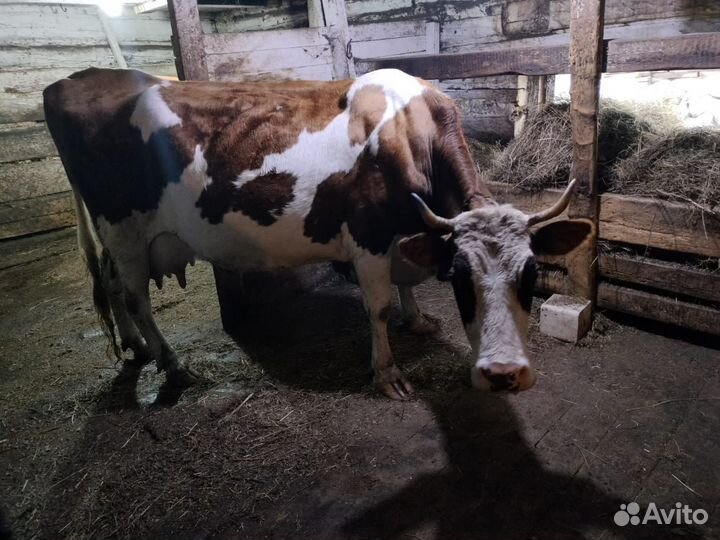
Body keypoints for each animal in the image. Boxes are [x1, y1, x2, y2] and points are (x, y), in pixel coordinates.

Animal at [43, 67, 591, 400]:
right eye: (459, 278)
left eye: (531, 275)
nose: (504, 375)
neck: (411, 132)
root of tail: (76, 80)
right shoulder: (368, 236)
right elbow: (378, 307)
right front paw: (387, 373)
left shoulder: (403, 237)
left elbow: (407, 285)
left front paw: (417, 320)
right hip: (125, 230)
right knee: (136, 296)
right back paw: (172, 363)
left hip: (121, 240)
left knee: (113, 286)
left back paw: (137, 348)